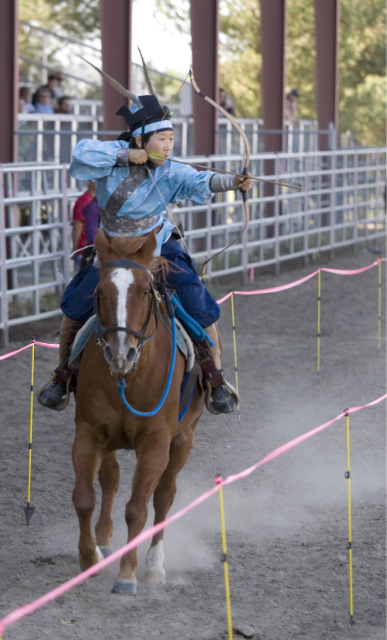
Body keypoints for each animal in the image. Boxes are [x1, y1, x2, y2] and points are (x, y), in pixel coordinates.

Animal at [71, 226, 208, 596]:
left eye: (145, 290)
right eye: (100, 291)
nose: (122, 353)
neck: (129, 378)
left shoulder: (156, 443)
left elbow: (137, 509)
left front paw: (127, 575)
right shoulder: (88, 433)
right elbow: (84, 497)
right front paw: (89, 558)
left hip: (184, 439)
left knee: (163, 497)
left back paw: (154, 566)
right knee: (111, 478)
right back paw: (104, 542)